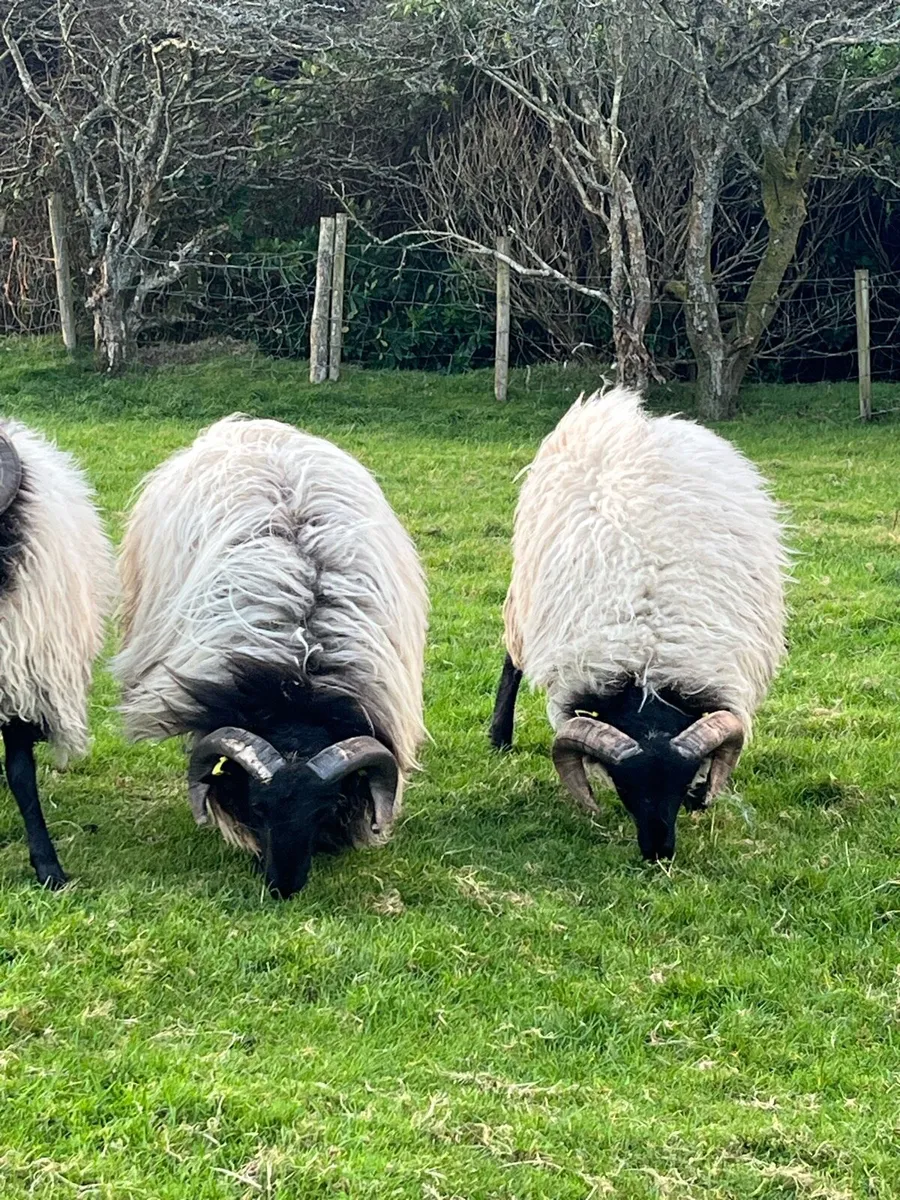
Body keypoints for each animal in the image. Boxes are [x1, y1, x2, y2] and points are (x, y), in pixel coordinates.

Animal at [489, 386, 787, 861]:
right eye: (625, 788)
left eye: (679, 783)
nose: (658, 852)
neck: (649, 669)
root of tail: (639, 416)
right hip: (526, 588)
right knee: (512, 659)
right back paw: (499, 736)